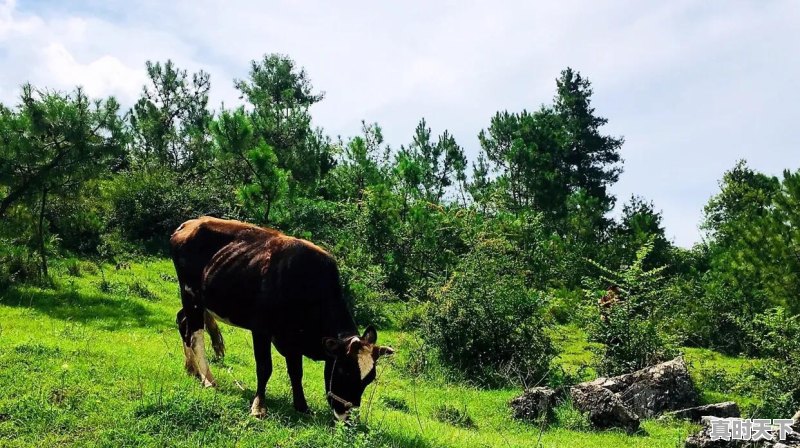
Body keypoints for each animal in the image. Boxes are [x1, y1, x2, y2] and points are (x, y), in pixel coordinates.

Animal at [170, 216, 394, 420]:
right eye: (345, 371)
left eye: (369, 379)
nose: (348, 418)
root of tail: (188, 224)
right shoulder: (261, 329)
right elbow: (264, 367)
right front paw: (259, 407)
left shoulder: (293, 339)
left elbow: (296, 372)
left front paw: (302, 406)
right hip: (190, 294)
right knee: (195, 336)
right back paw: (208, 379)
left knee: (183, 323)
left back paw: (191, 369)